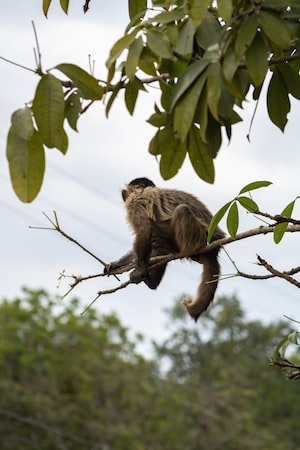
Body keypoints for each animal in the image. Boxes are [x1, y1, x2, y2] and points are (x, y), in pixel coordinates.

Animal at [105, 178, 225, 322]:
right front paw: (116, 264)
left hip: (201, 237)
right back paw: (153, 281)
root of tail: (215, 246)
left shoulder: (135, 204)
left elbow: (145, 230)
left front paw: (139, 271)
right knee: (156, 240)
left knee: (181, 211)